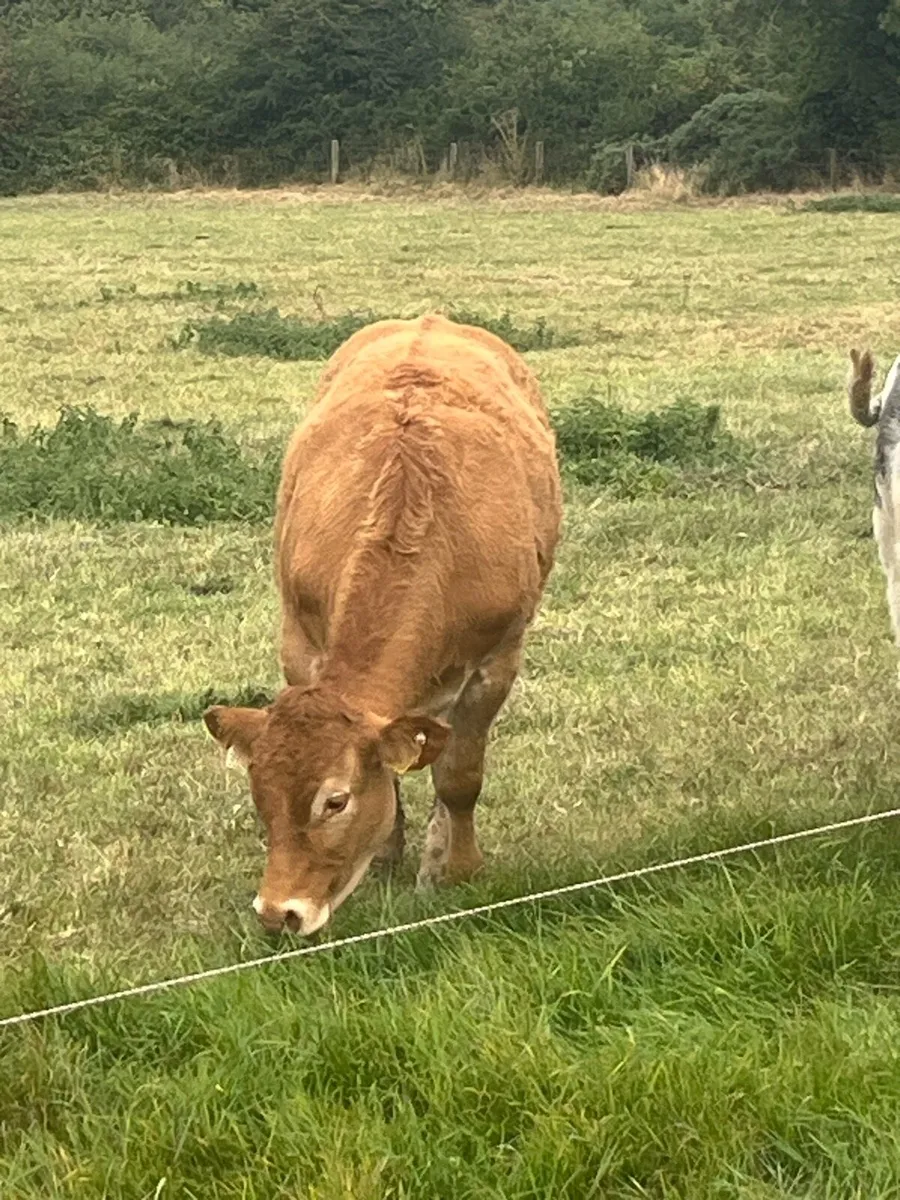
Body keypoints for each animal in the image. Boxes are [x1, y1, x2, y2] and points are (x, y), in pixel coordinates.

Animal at [203, 314, 562, 935]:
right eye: (260, 794)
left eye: (336, 801)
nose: (279, 913)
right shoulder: (299, 641)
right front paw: (388, 855)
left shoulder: (497, 660)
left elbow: (460, 776)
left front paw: (457, 868)